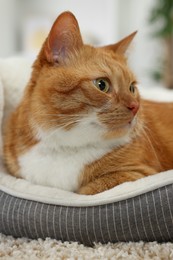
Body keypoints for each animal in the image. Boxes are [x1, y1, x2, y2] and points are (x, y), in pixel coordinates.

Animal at [3, 12, 173, 195]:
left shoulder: (137, 174)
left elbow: (88, 190)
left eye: (131, 88)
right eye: (102, 84)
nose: (135, 107)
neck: (63, 149)